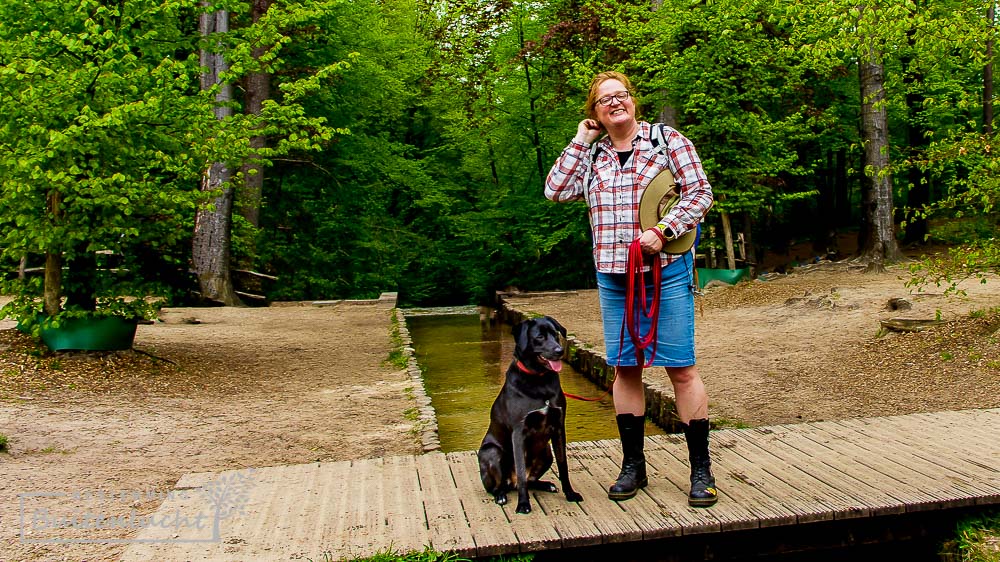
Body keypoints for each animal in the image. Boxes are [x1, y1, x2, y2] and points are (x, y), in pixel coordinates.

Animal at [478, 316, 584, 512]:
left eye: (555, 334)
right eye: (540, 337)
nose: (559, 351)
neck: (539, 380)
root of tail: (509, 483)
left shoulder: (559, 428)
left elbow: (563, 466)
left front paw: (570, 494)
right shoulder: (519, 433)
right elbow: (520, 472)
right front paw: (523, 504)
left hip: (546, 452)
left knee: (530, 479)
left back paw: (546, 485)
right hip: (491, 452)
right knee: (502, 485)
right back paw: (501, 495)